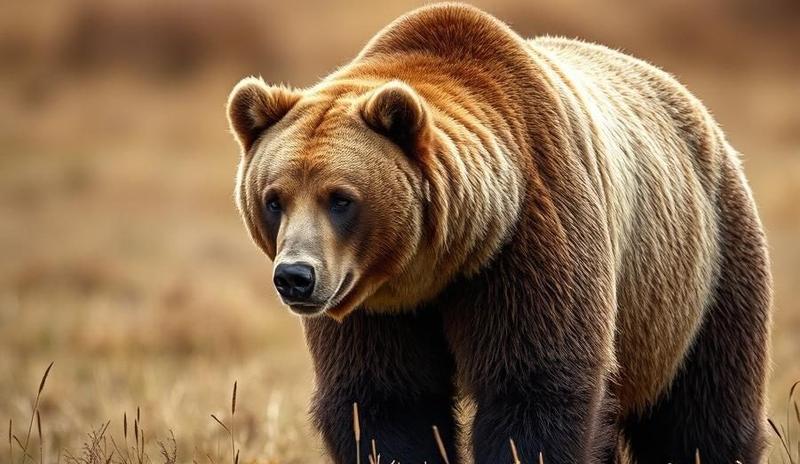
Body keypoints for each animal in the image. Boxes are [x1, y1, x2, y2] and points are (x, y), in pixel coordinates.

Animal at [226, 4, 772, 464]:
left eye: (341, 198)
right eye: (274, 198)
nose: (296, 276)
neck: (437, 267)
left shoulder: (529, 240)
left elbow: (534, 387)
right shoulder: (375, 305)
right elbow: (383, 400)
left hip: (699, 276)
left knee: (703, 413)